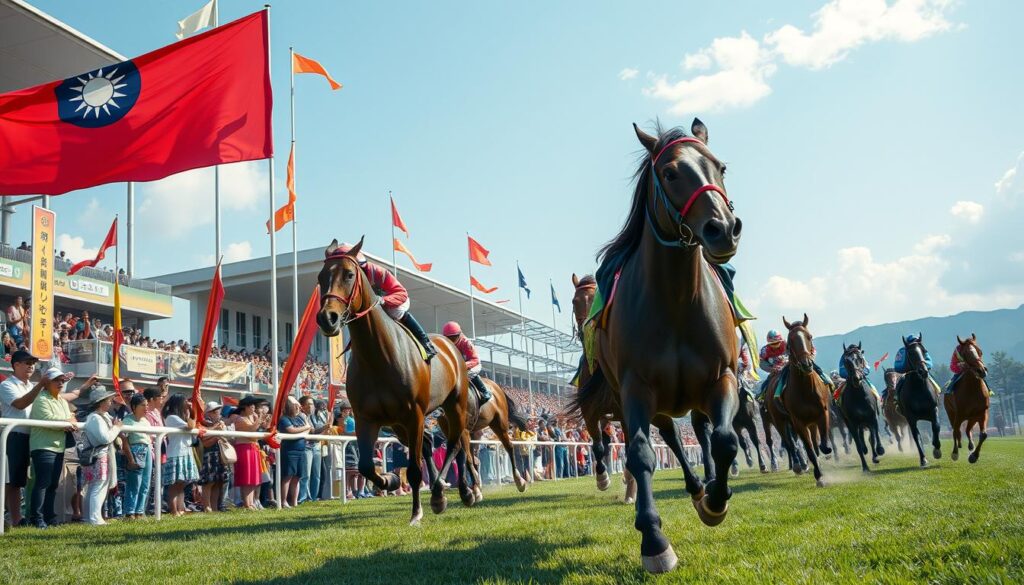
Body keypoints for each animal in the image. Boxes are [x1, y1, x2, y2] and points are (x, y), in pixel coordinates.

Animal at [315, 238, 471, 524]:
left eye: (349, 274)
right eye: (320, 277)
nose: (326, 318)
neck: (378, 358)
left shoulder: (415, 414)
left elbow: (414, 470)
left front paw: (416, 513)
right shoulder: (366, 417)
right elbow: (366, 465)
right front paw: (389, 480)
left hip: (454, 405)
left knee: (456, 444)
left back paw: (457, 492)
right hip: (399, 425)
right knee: (432, 444)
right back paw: (440, 490)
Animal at [573, 118, 741, 573]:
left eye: (720, 166)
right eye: (669, 173)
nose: (723, 228)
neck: (676, 303)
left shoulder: (722, 376)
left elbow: (724, 439)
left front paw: (716, 501)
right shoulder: (635, 388)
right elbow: (640, 454)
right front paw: (653, 539)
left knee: (701, 432)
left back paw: (707, 488)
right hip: (659, 401)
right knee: (669, 437)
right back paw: (693, 486)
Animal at [770, 313, 831, 487]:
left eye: (809, 336)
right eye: (790, 341)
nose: (806, 364)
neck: (805, 390)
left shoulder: (822, 414)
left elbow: (822, 445)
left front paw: (825, 455)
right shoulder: (798, 422)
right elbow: (809, 449)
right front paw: (819, 476)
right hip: (779, 421)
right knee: (789, 443)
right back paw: (798, 465)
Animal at [897, 333, 942, 467]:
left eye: (924, 351)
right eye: (911, 353)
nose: (923, 371)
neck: (919, 388)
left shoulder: (933, 409)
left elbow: (936, 427)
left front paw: (937, 449)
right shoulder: (910, 417)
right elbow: (916, 436)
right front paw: (923, 459)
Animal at [942, 336, 991, 465]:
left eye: (980, 351)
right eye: (965, 354)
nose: (981, 370)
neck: (973, 390)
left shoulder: (982, 413)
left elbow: (983, 434)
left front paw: (974, 456)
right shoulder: (959, 414)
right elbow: (955, 431)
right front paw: (955, 453)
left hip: (972, 418)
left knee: (968, 430)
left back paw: (971, 445)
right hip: (951, 413)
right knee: (956, 430)